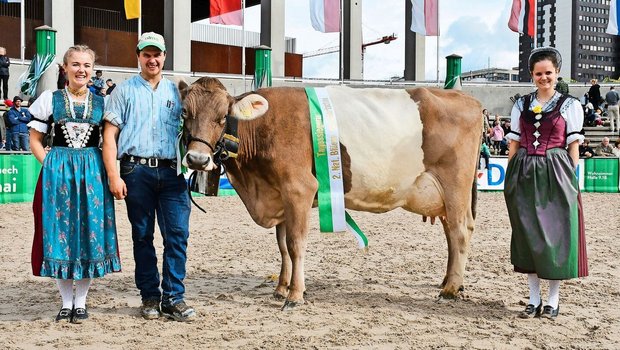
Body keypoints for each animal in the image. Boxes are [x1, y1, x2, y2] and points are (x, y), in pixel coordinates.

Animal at [179, 77, 484, 308]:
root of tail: (467, 98)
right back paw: (449, 281)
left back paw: (450, 289)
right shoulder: (279, 195)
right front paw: (280, 288)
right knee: (450, 234)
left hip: (455, 185)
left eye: (222, 117)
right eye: (184, 113)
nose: (197, 160)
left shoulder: (298, 188)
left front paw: (295, 295)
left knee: (460, 231)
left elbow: (295, 244)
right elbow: (282, 246)